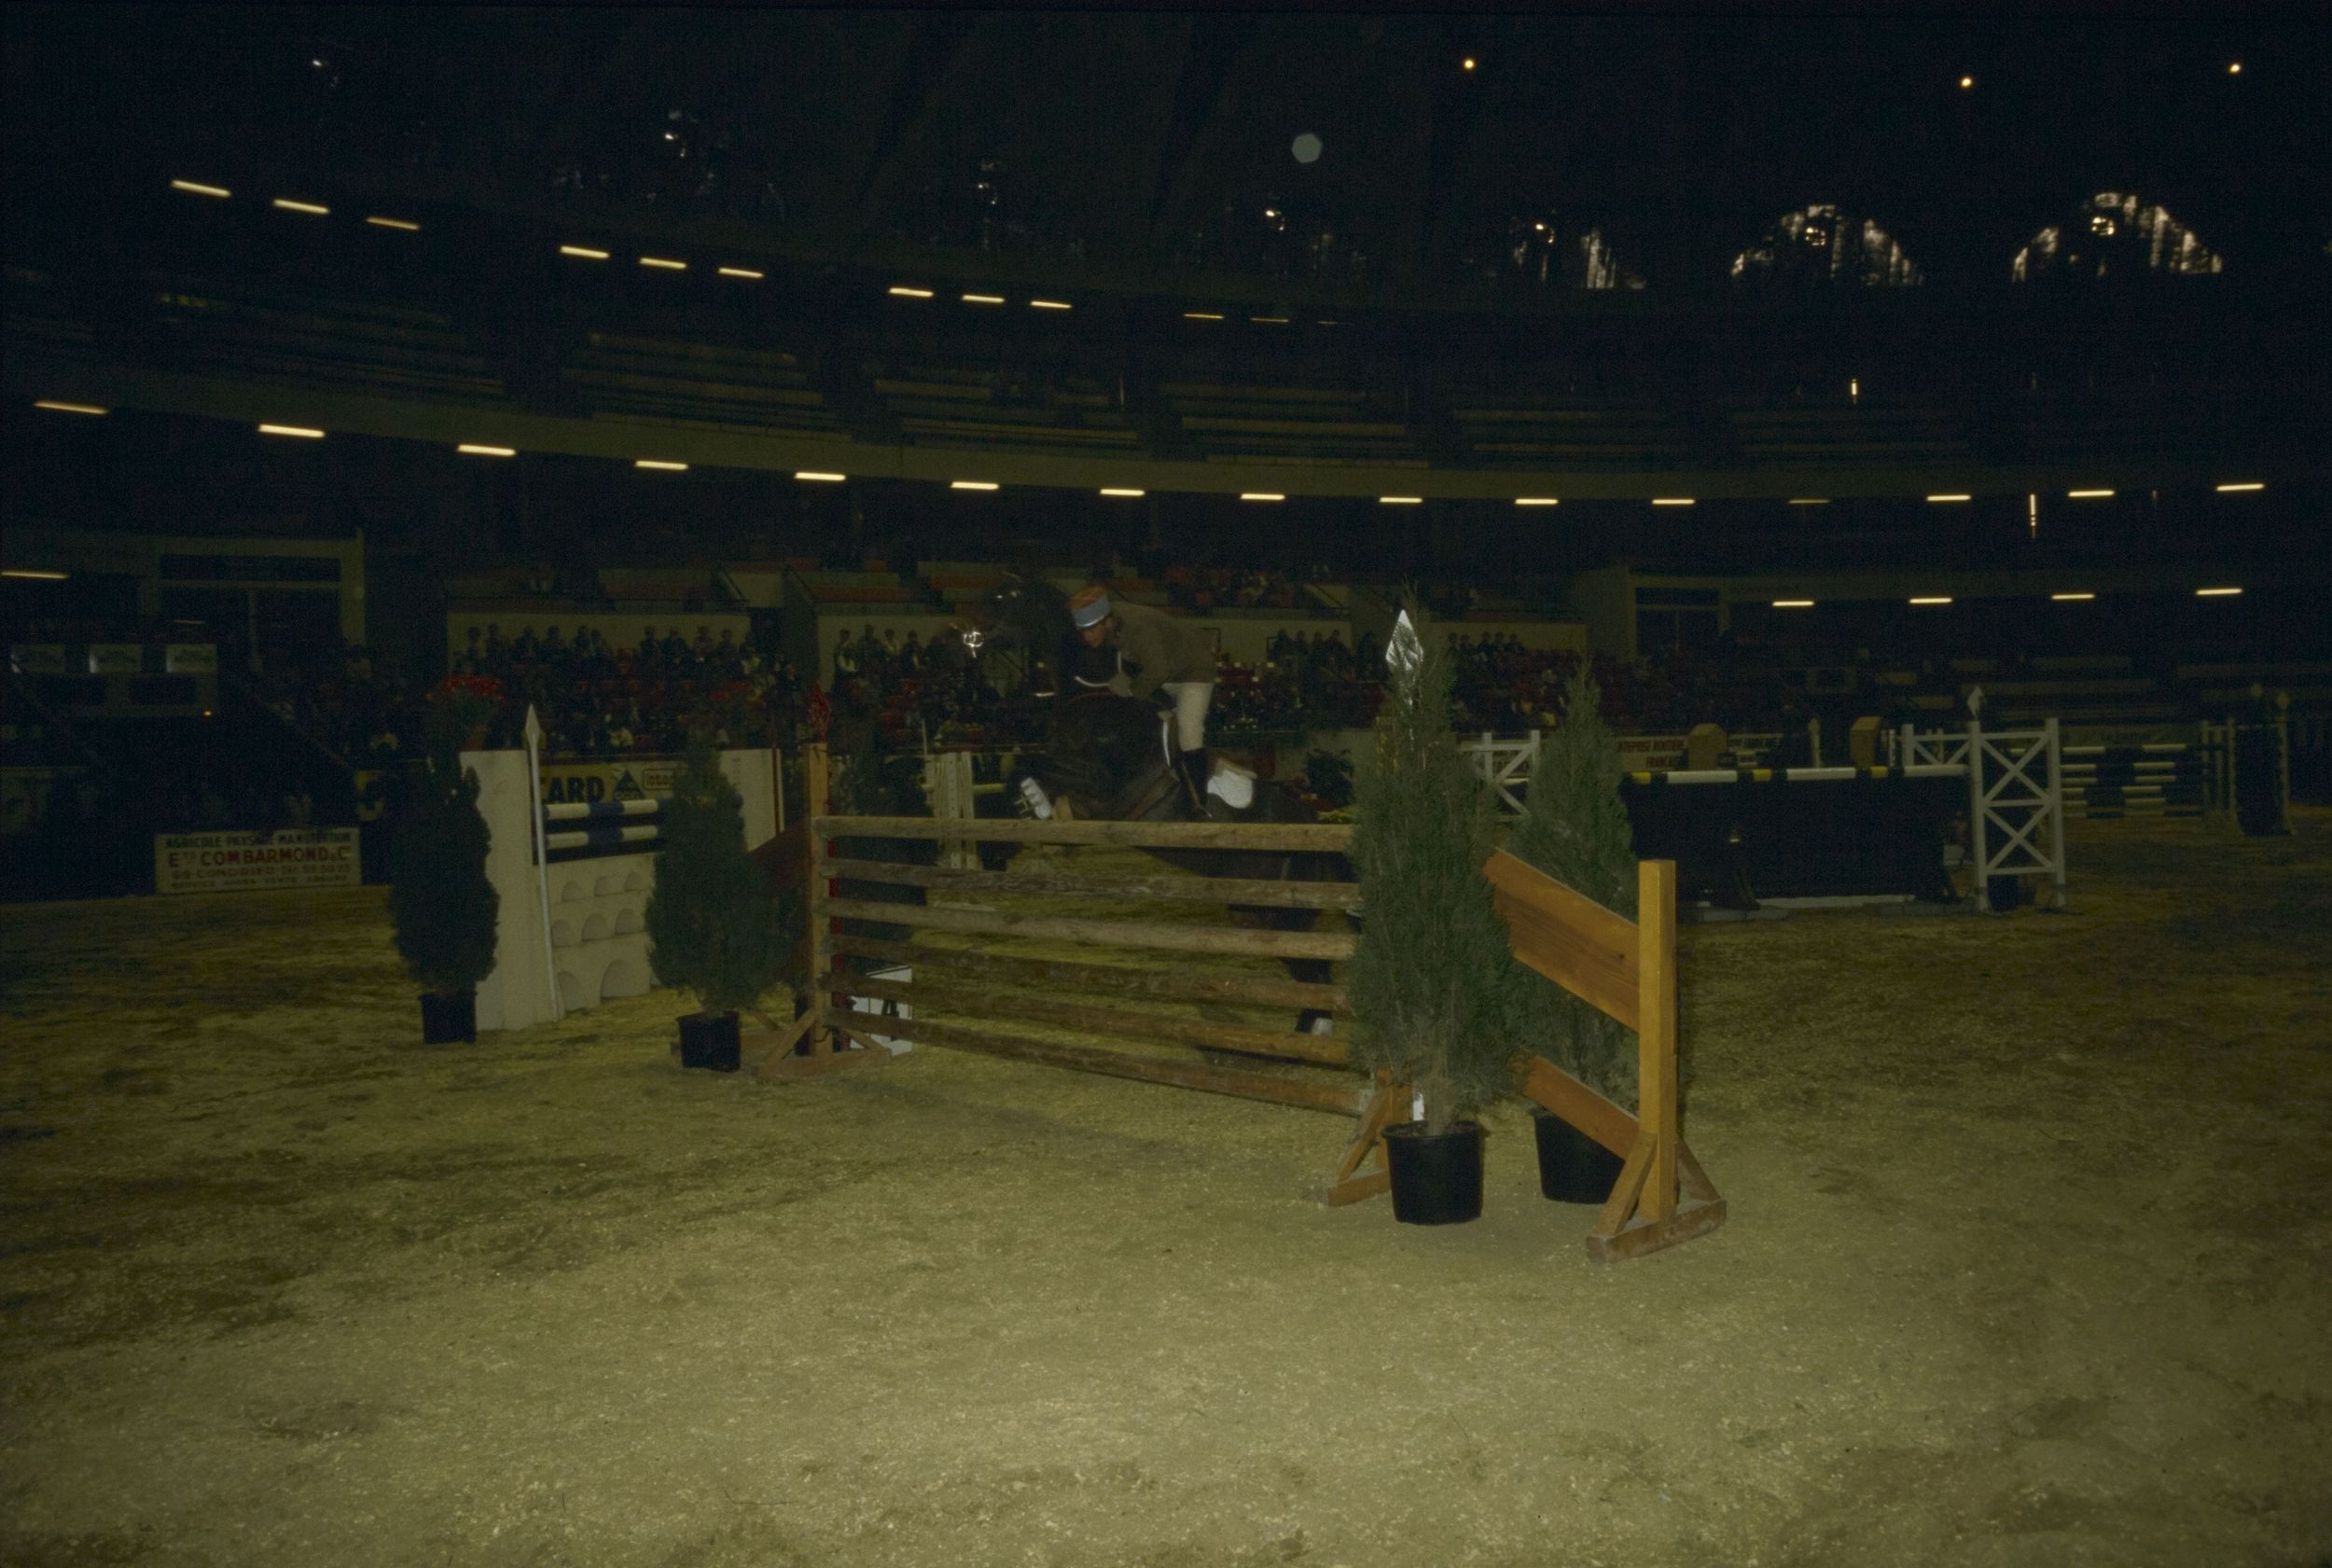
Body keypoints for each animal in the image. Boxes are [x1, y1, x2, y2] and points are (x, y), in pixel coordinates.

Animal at [975, 569, 1362, 1035]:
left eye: (1006, 596)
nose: (971, 636)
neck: (1093, 697)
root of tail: (1316, 827)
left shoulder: (1103, 785)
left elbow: (1029, 765)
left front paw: (1029, 811)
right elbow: (1018, 773)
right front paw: (1005, 838)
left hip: (1285, 917)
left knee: (1317, 976)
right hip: (1254, 912)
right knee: (1314, 978)